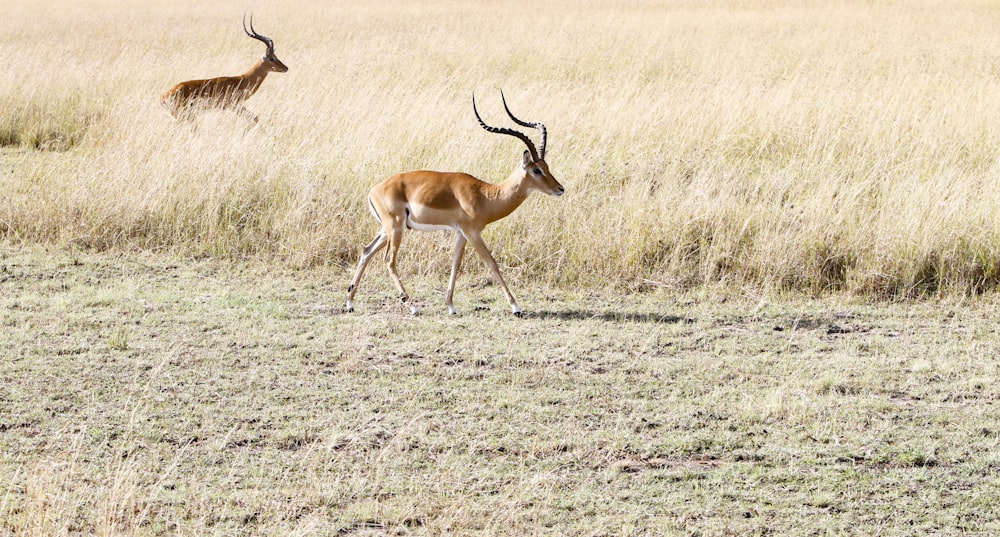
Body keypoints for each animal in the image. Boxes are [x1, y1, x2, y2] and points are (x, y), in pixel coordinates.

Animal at [346, 91, 568, 314]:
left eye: (546, 166)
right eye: (536, 170)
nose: (560, 189)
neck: (485, 195)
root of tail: (374, 190)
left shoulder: (461, 233)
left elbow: (455, 265)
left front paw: (451, 306)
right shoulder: (472, 233)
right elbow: (491, 263)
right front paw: (516, 307)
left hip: (388, 230)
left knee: (366, 251)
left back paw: (349, 303)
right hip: (396, 228)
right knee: (389, 261)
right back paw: (413, 306)